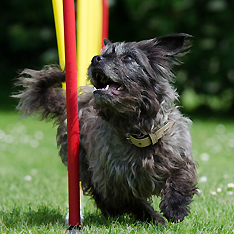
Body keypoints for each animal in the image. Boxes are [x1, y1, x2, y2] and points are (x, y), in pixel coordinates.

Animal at [13, 33, 197, 226]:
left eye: (128, 57)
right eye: (102, 54)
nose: (95, 59)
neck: (138, 133)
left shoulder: (179, 156)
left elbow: (179, 179)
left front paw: (175, 208)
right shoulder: (113, 182)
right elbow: (135, 202)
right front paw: (153, 218)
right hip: (85, 168)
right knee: (99, 196)